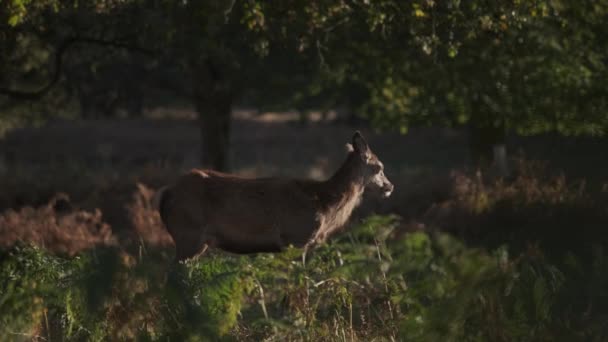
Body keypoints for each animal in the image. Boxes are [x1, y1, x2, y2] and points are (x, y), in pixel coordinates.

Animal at [157, 132, 394, 260]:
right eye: (379, 167)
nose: (390, 186)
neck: (323, 203)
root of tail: (165, 194)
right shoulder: (296, 237)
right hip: (188, 233)